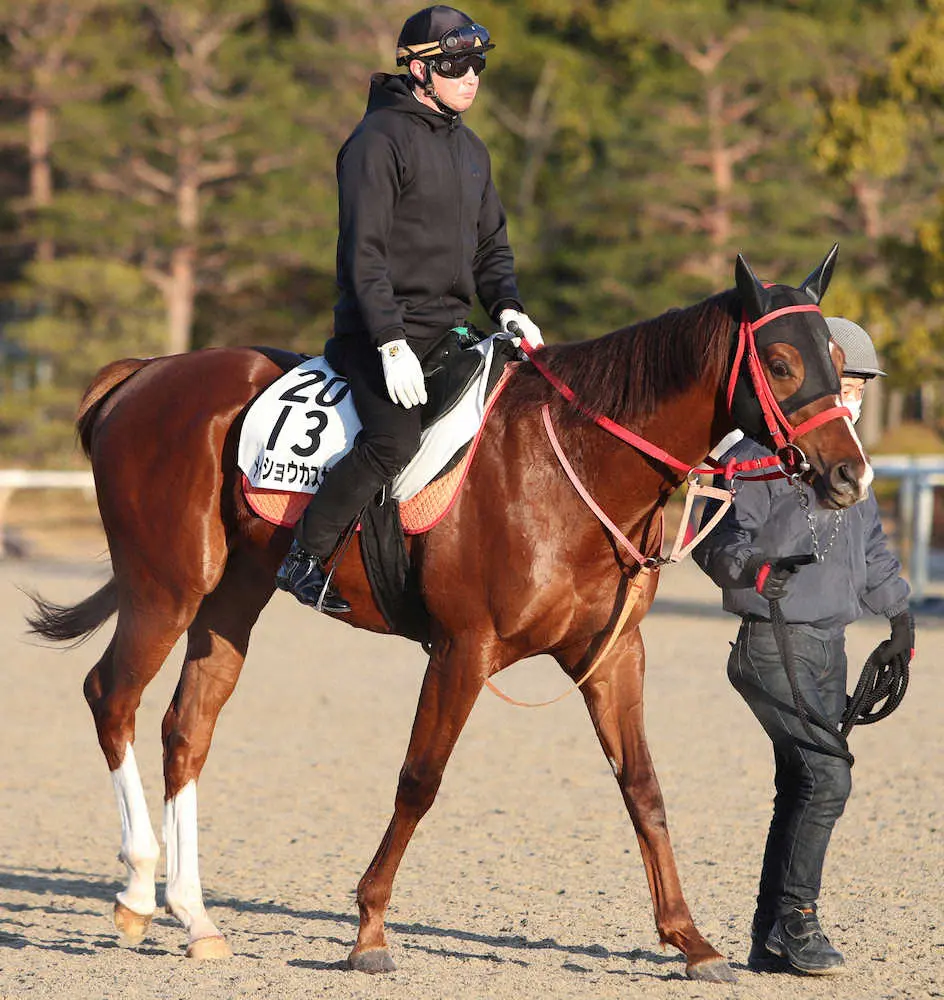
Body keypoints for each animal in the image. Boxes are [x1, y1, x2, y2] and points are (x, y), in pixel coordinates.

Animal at [28, 249, 871, 983]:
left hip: (230, 599)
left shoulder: (612, 655)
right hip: (166, 586)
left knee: (187, 729)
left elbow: (643, 788)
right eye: (783, 364)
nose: (850, 474)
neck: (567, 462)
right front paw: (369, 929)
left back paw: (195, 916)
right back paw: (138, 893)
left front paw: (690, 940)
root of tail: (147, 373)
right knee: (112, 698)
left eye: (835, 359)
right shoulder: (463, 651)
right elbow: (419, 781)